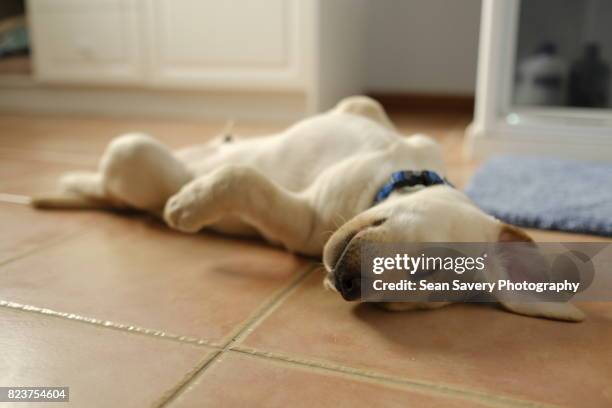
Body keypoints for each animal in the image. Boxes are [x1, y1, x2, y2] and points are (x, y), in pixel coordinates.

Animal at [32, 95, 584, 322]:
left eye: (418, 289)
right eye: (430, 267)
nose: (348, 286)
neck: (387, 178)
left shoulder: (300, 222)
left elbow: (244, 179)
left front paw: (187, 206)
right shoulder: (372, 118)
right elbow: (359, 103)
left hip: (134, 155)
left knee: (115, 181)